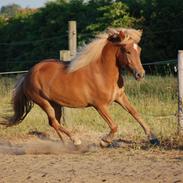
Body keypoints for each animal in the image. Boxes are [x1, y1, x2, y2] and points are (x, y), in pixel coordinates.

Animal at [8, 27, 159, 147]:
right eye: (127, 51)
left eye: (139, 50)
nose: (140, 74)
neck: (102, 73)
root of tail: (27, 75)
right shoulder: (99, 105)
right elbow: (114, 126)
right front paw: (104, 141)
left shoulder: (120, 97)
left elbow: (136, 114)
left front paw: (153, 138)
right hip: (44, 102)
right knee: (54, 122)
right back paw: (75, 140)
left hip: (56, 104)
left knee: (53, 122)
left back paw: (64, 143)